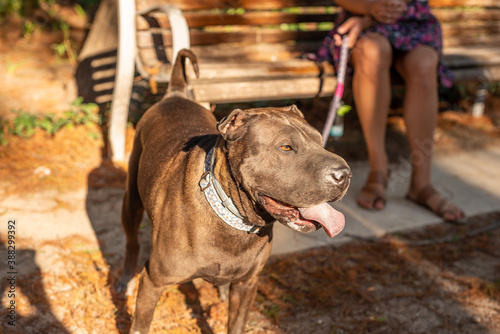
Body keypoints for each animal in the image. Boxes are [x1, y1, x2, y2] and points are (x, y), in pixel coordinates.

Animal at [118, 48, 352, 332]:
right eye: (286, 147)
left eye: (320, 140)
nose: (344, 175)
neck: (232, 217)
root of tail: (175, 94)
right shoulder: (154, 282)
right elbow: (141, 323)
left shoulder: (247, 284)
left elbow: (237, 323)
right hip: (131, 200)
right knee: (131, 241)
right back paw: (126, 280)